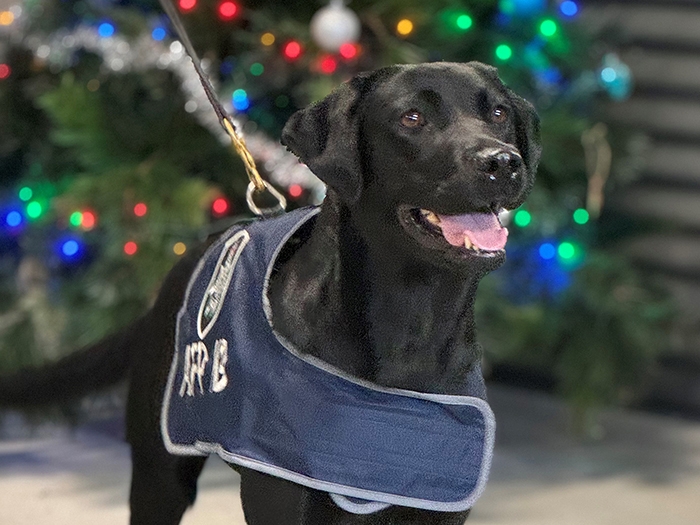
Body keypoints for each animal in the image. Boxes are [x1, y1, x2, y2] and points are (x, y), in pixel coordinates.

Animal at [0, 62, 540, 524]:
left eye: (498, 113)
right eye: (412, 118)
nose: (502, 162)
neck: (414, 322)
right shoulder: (280, 499)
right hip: (160, 470)